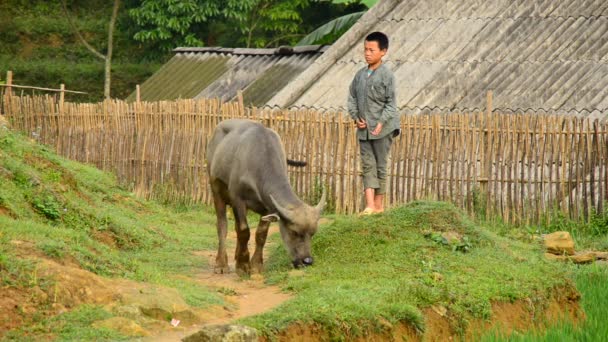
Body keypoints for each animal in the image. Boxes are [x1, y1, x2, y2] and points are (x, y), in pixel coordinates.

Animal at [207, 119, 326, 274]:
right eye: (294, 232)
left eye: (313, 233)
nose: (307, 261)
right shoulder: (237, 199)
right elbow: (244, 231)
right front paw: (243, 265)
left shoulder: (268, 206)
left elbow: (261, 234)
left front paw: (256, 265)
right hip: (216, 190)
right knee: (222, 224)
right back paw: (221, 264)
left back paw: (237, 255)